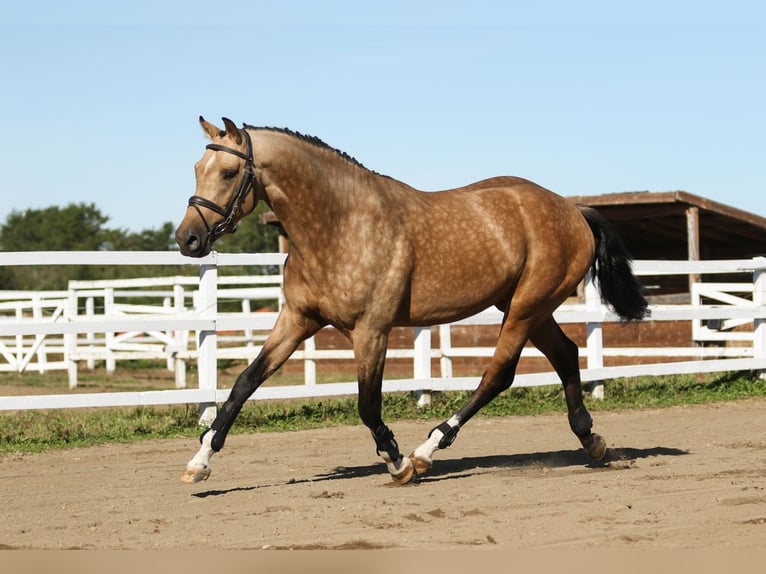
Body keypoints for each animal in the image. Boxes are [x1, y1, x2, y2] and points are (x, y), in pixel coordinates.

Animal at [175, 117, 648, 485]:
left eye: (229, 172)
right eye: (197, 167)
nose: (187, 239)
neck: (339, 225)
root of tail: (572, 210)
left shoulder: (371, 331)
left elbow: (368, 405)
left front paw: (397, 462)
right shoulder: (296, 320)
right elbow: (244, 383)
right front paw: (199, 463)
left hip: (526, 307)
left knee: (499, 374)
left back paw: (427, 450)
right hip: (529, 307)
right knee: (565, 355)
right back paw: (592, 441)